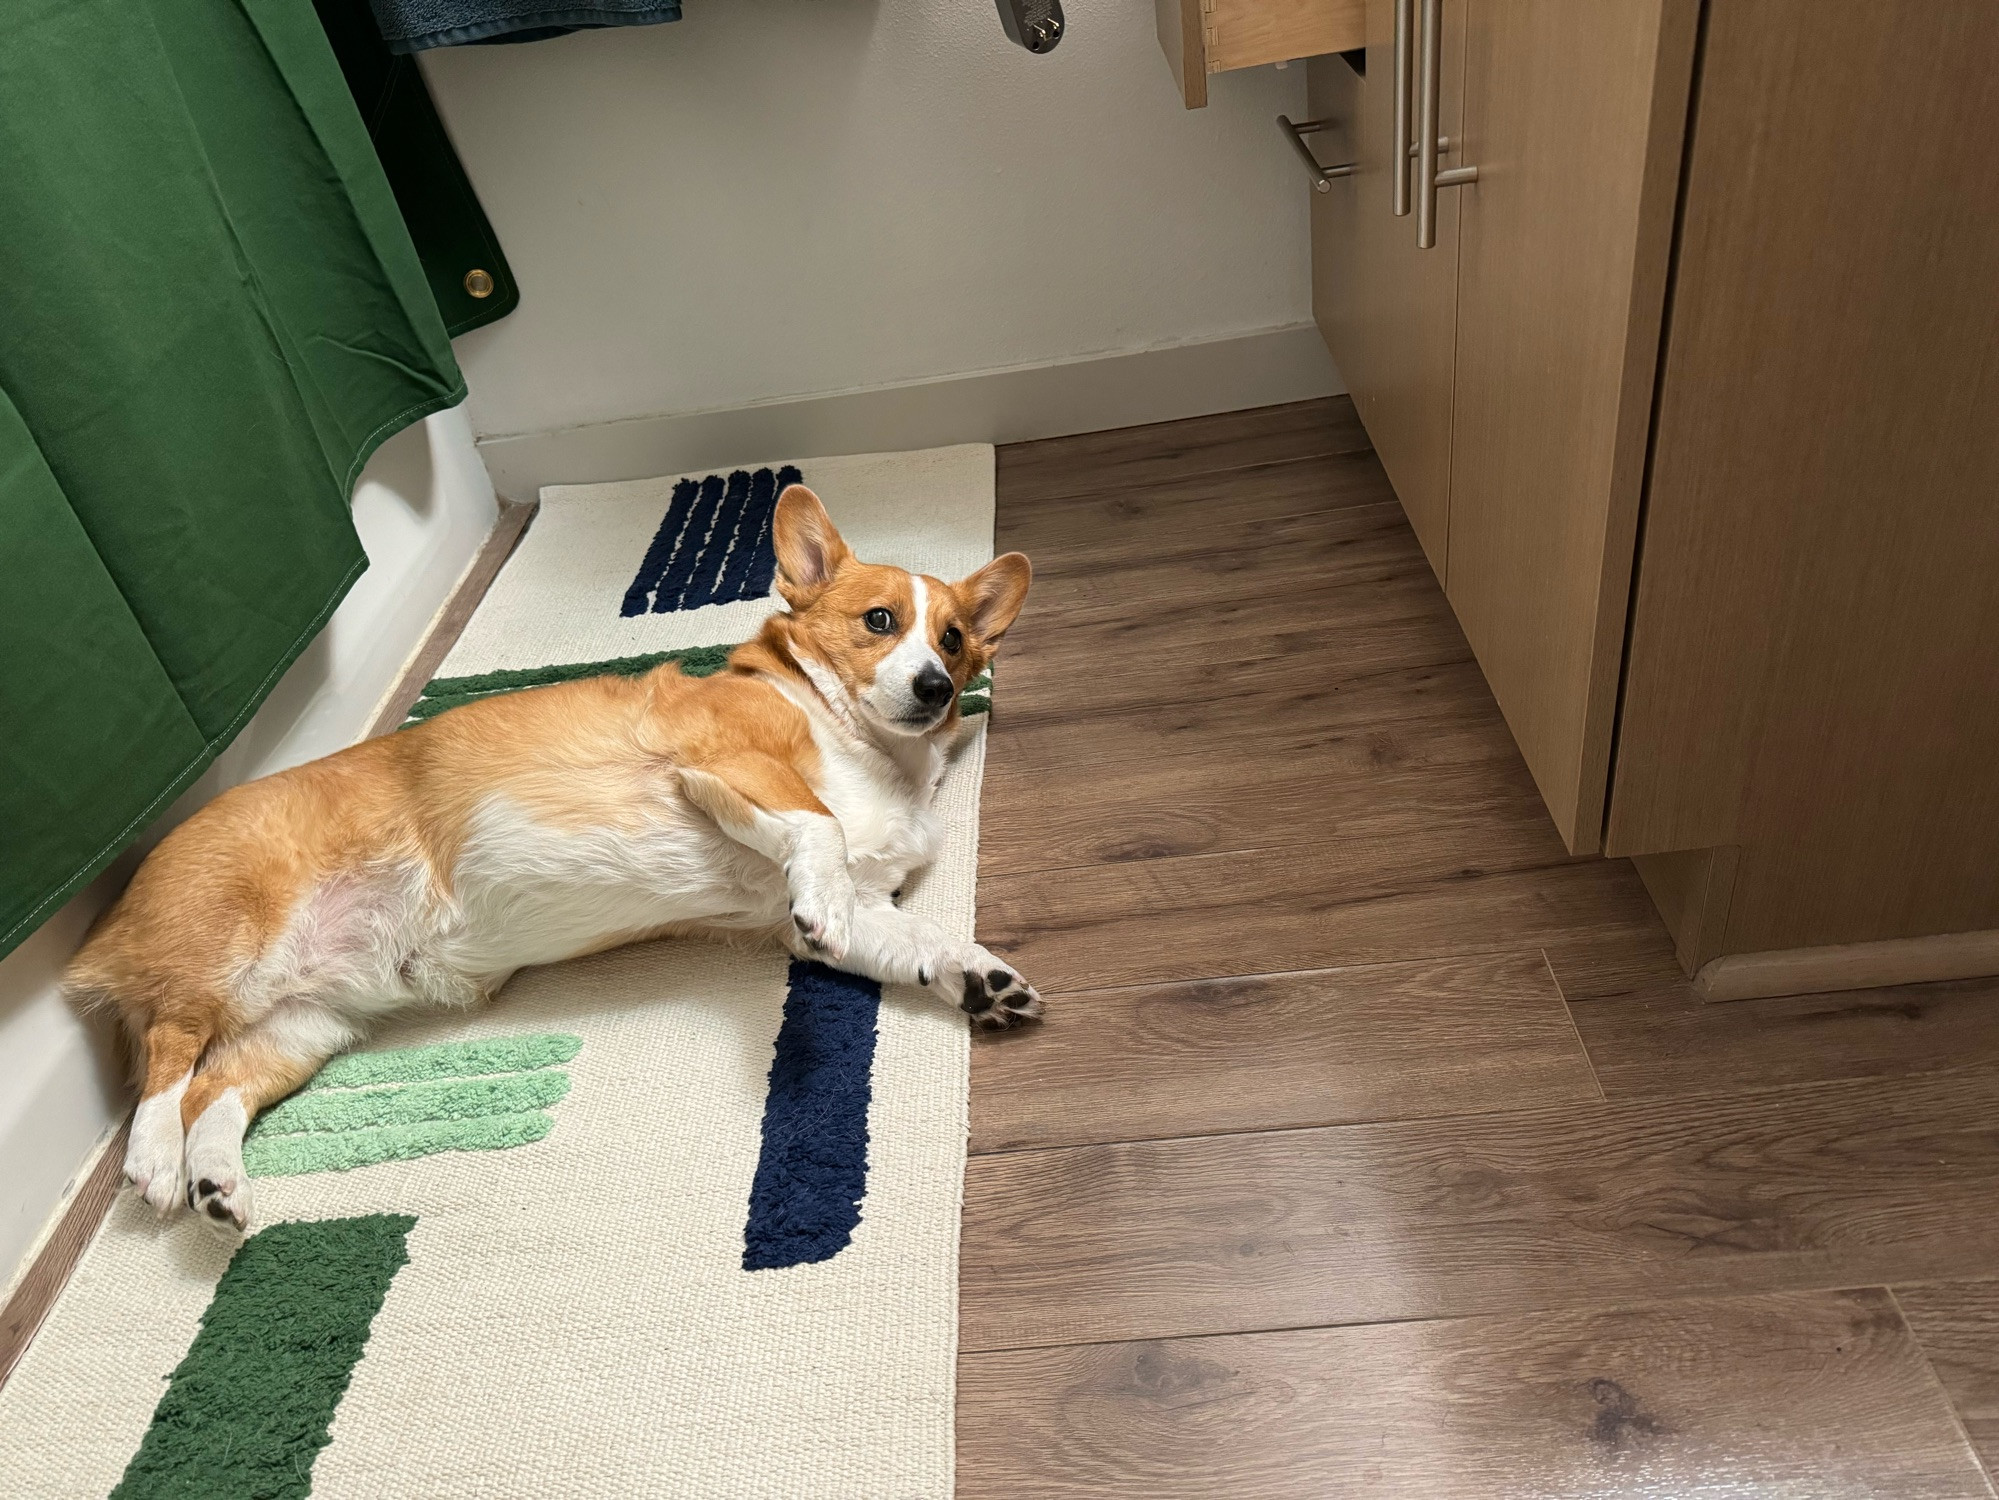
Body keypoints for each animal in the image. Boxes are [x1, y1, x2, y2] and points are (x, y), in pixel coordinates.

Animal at [66, 488, 1031, 1240]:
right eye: (880, 622)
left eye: (954, 639)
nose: (937, 688)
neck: (869, 751)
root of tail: (106, 925)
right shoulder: (721, 765)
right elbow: (817, 827)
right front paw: (832, 896)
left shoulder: (851, 908)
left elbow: (915, 941)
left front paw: (981, 978)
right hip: (222, 952)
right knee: (168, 1054)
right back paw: (154, 1161)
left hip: (303, 1026)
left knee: (213, 1091)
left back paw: (214, 1182)